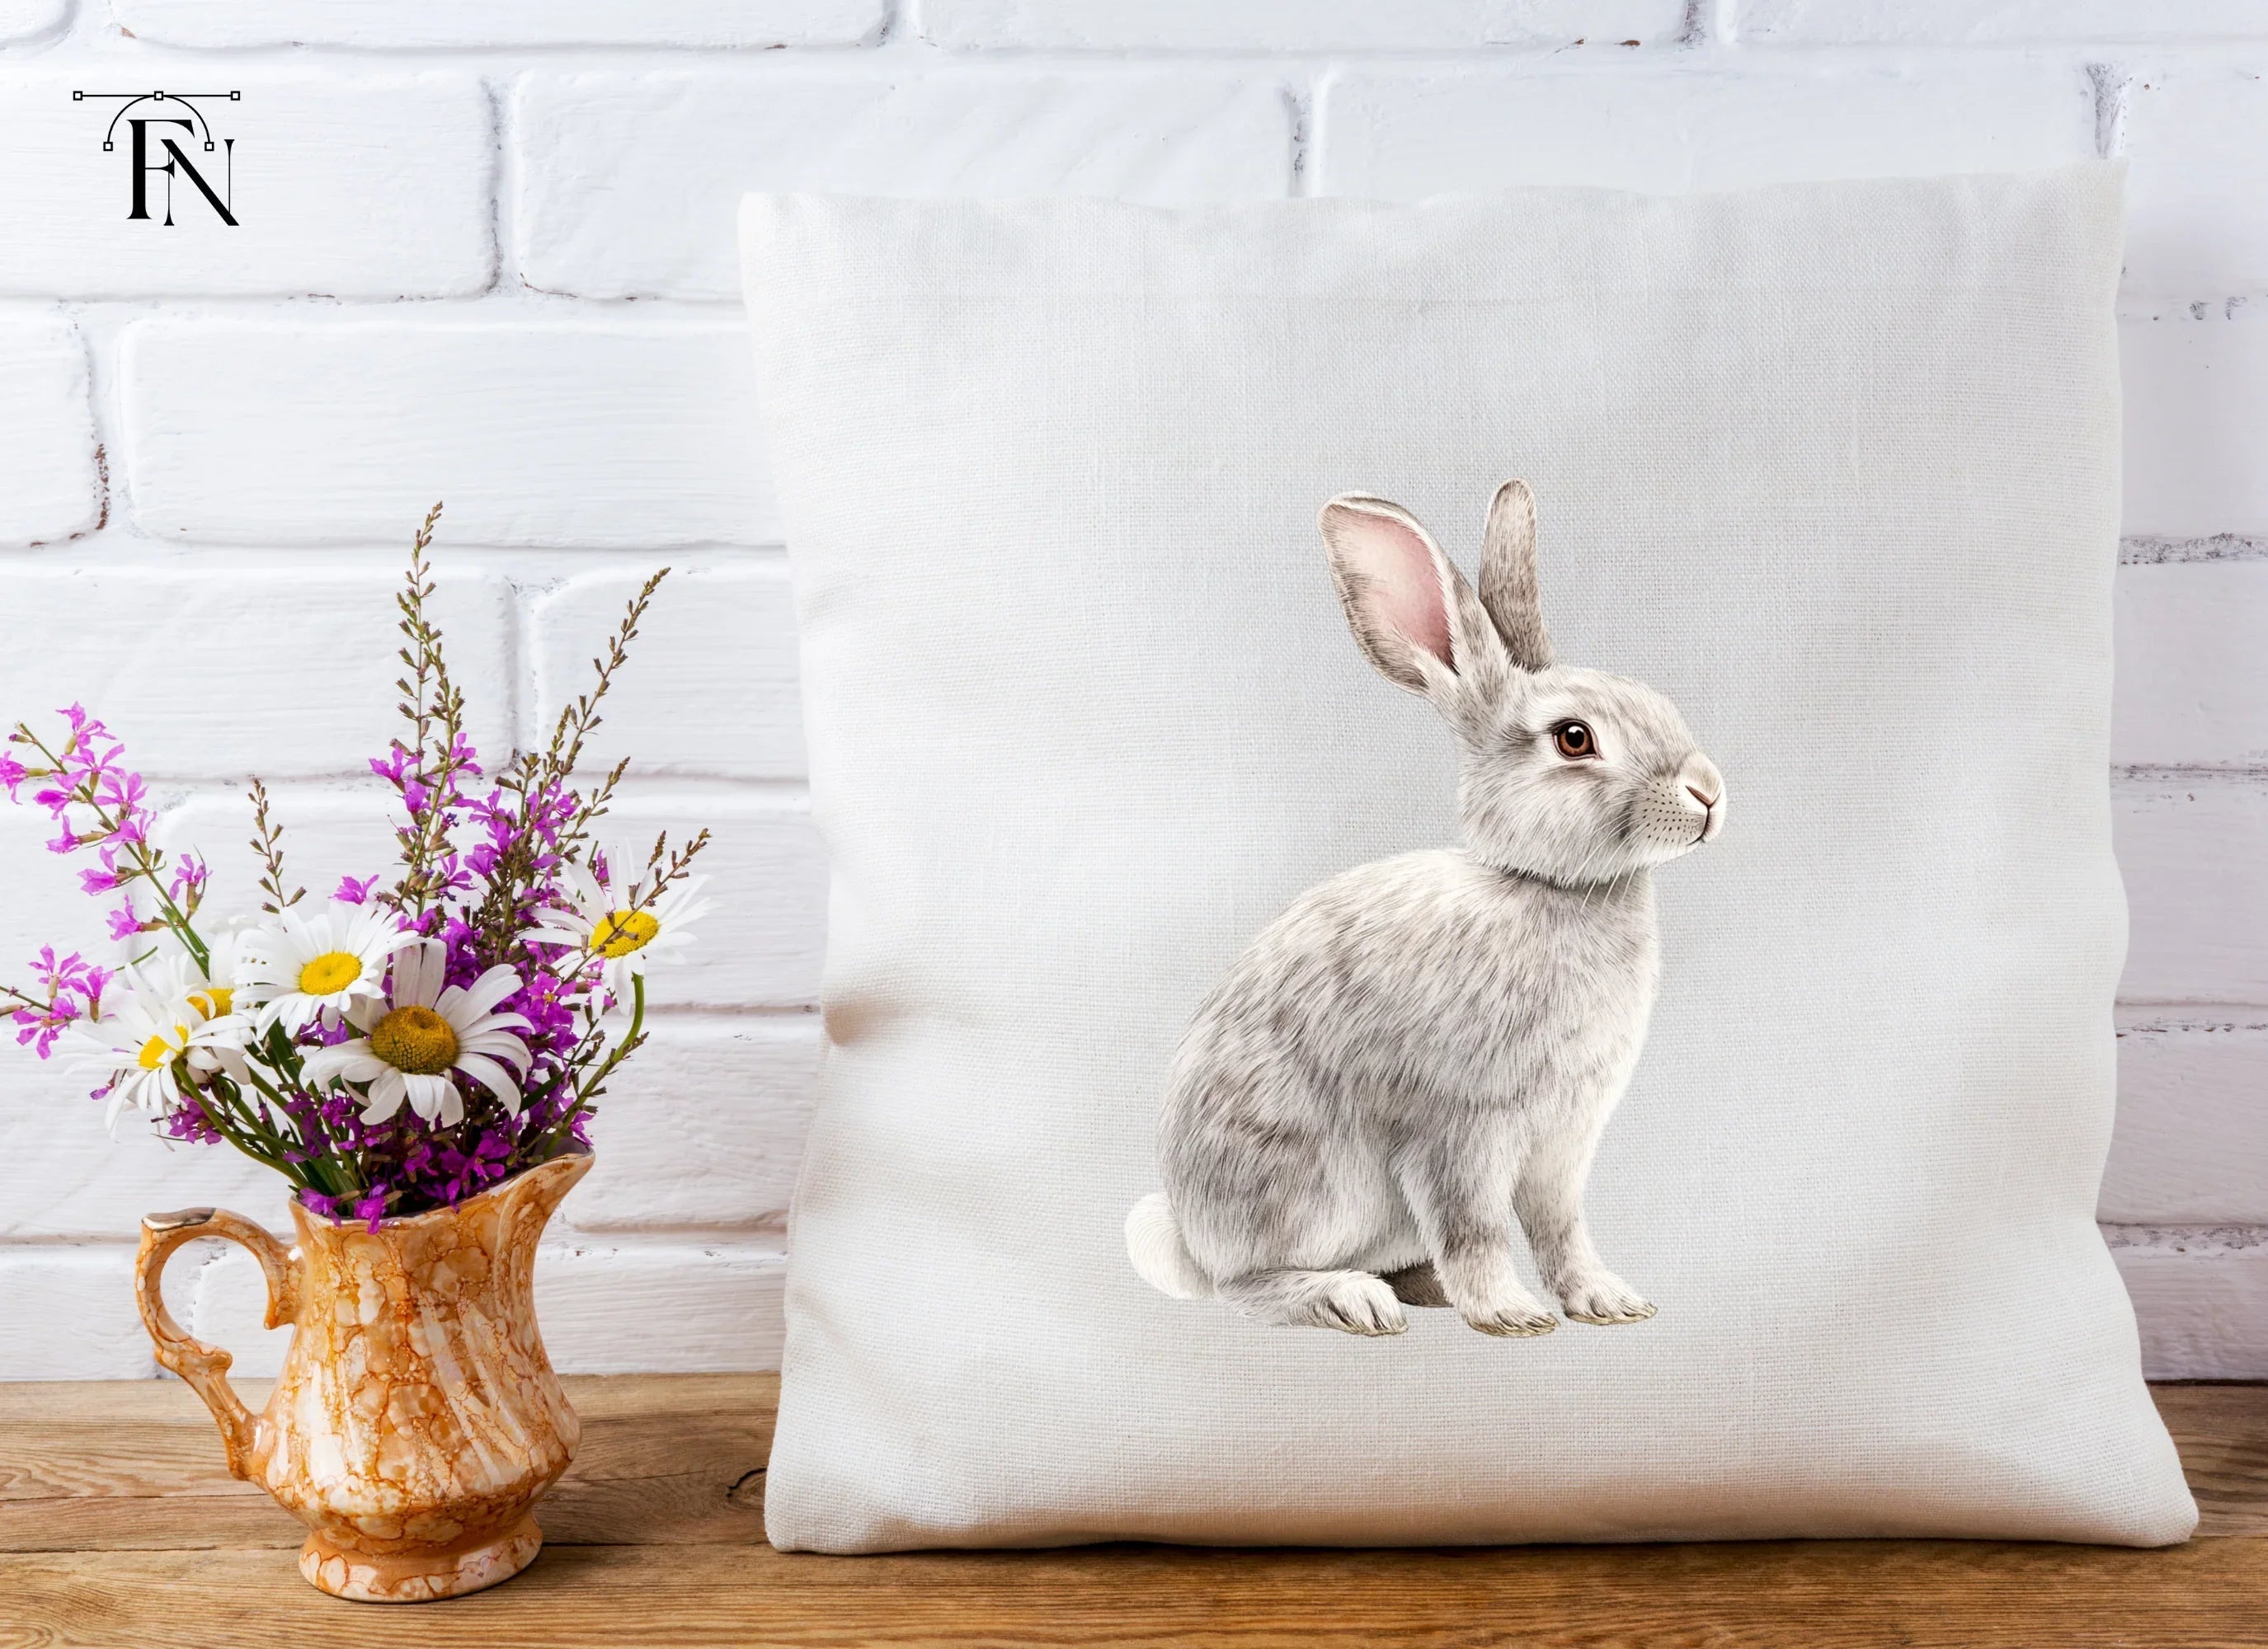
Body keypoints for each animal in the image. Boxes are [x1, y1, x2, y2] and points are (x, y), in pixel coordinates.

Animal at [1125, 480, 1724, 1339]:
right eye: (1575, 738)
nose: (1708, 792)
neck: (1550, 886)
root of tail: (1187, 1231)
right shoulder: (1460, 1132)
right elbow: (1475, 1226)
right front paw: (1511, 1315)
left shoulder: (1563, 1144)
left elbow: (1563, 1230)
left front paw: (1608, 1302)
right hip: (1307, 1181)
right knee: (1246, 1283)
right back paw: (1351, 1300)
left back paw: (1421, 1286)